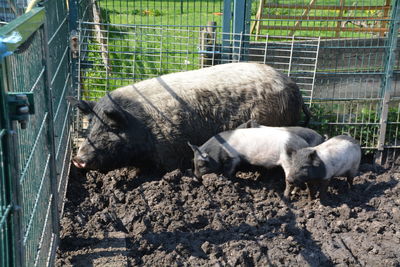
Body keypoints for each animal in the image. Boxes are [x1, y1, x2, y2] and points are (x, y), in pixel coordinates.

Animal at [69, 62, 312, 172]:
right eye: (90, 127)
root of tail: (294, 87)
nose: (77, 159)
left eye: (111, 128)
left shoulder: (169, 151)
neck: (142, 125)